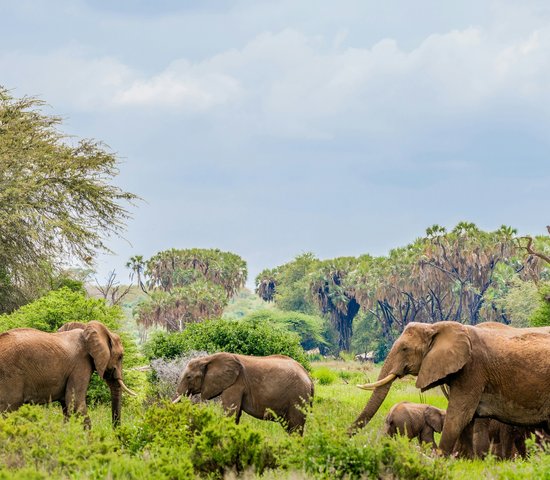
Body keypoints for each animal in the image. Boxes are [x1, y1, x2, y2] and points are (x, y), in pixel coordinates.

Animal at [0, 320, 136, 426]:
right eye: (120, 356)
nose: (116, 433)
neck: (86, 330)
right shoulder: (80, 365)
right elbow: (76, 404)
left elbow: (67, 406)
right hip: (10, 376)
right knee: (8, 409)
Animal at [175, 352, 316, 436]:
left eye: (188, 377)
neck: (208, 359)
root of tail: (309, 377)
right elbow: (235, 415)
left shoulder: (236, 384)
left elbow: (231, 412)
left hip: (298, 396)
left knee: (295, 427)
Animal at [352, 322, 550, 454]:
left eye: (405, 349)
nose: (347, 437)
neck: (436, 327)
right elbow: (467, 420)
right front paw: (466, 461)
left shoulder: (473, 370)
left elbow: (458, 416)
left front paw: (441, 459)